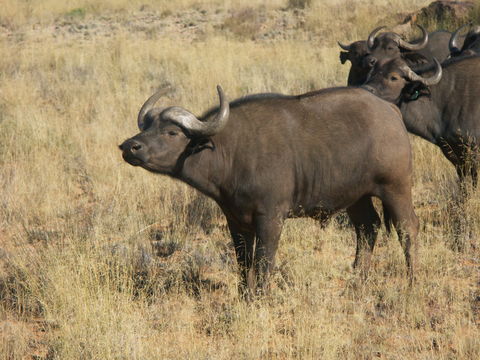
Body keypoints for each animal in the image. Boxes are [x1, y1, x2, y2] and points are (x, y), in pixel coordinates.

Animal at [121, 86, 420, 294]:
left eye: (171, 132)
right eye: (148, 126)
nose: (129, 146)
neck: (231, 153)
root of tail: (390, 111)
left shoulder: (271, 218)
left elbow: (264, 263)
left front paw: (262, 297)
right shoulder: (235, 221)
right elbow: (244, 264)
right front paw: (246, 297)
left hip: (396, 188)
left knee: (407, 230)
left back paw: (411, 281)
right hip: (356, 197)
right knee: (368, 228)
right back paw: (357, 281)